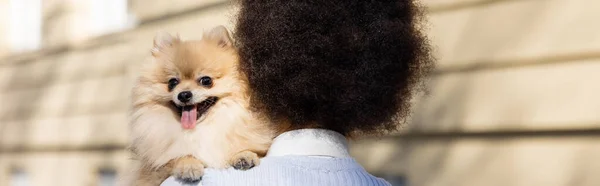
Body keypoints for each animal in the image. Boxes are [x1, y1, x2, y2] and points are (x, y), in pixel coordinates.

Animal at [119, 25, 272, 185]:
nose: (184, 95)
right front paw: (189, 165)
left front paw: (243, 155)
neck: (198, 130)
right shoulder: (149, 172)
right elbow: (176, 157)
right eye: (172, 83)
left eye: (206, 80)